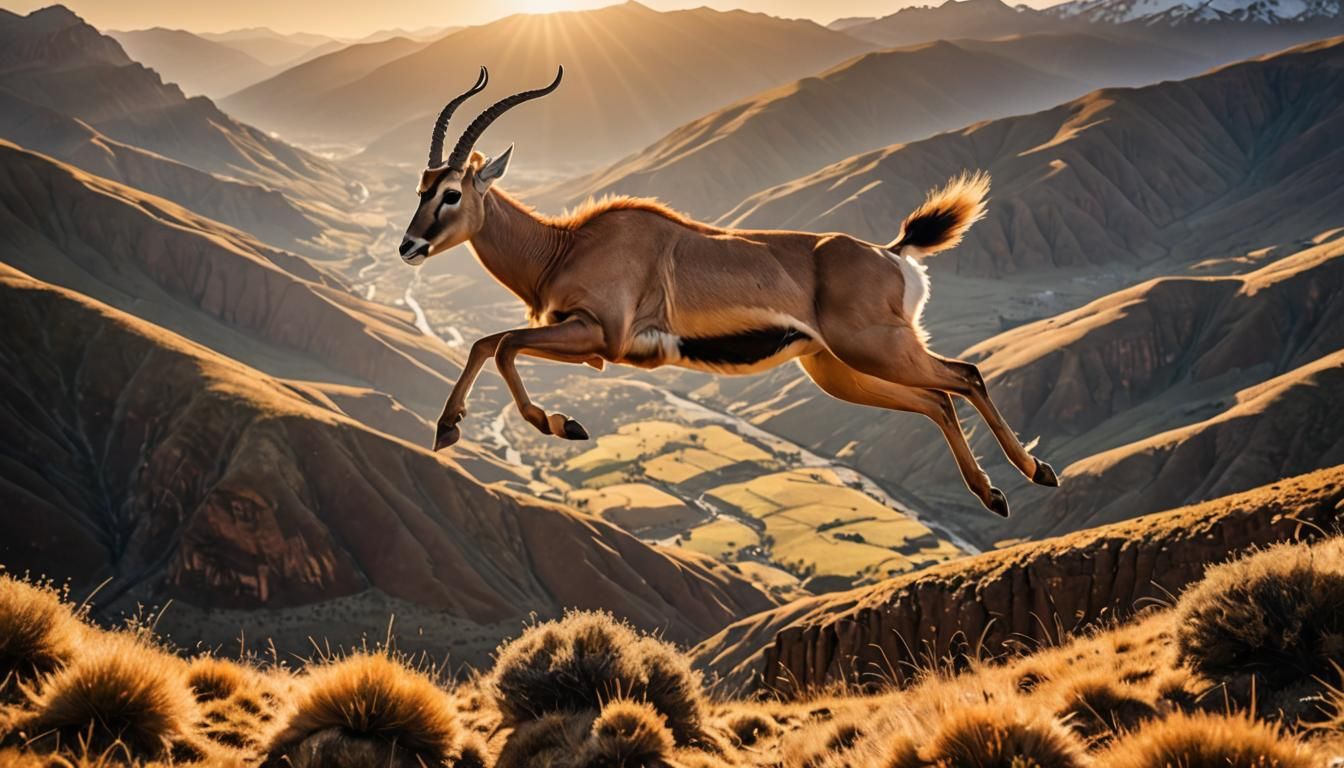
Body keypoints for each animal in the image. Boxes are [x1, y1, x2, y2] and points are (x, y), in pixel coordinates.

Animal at [399, 67, 1059, 517]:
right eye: (421, 187)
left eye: (452, 192)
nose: (408, 246)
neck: (563, 246)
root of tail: (891, 254)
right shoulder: (583, 340)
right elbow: (489, 342)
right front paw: (449, 428)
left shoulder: (597, 337)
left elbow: (502, 343)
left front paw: (559, 425)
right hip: (840, 371)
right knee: (936, 400)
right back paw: (996, 494)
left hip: (878, 351)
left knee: (965, 376)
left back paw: (1037, 473)